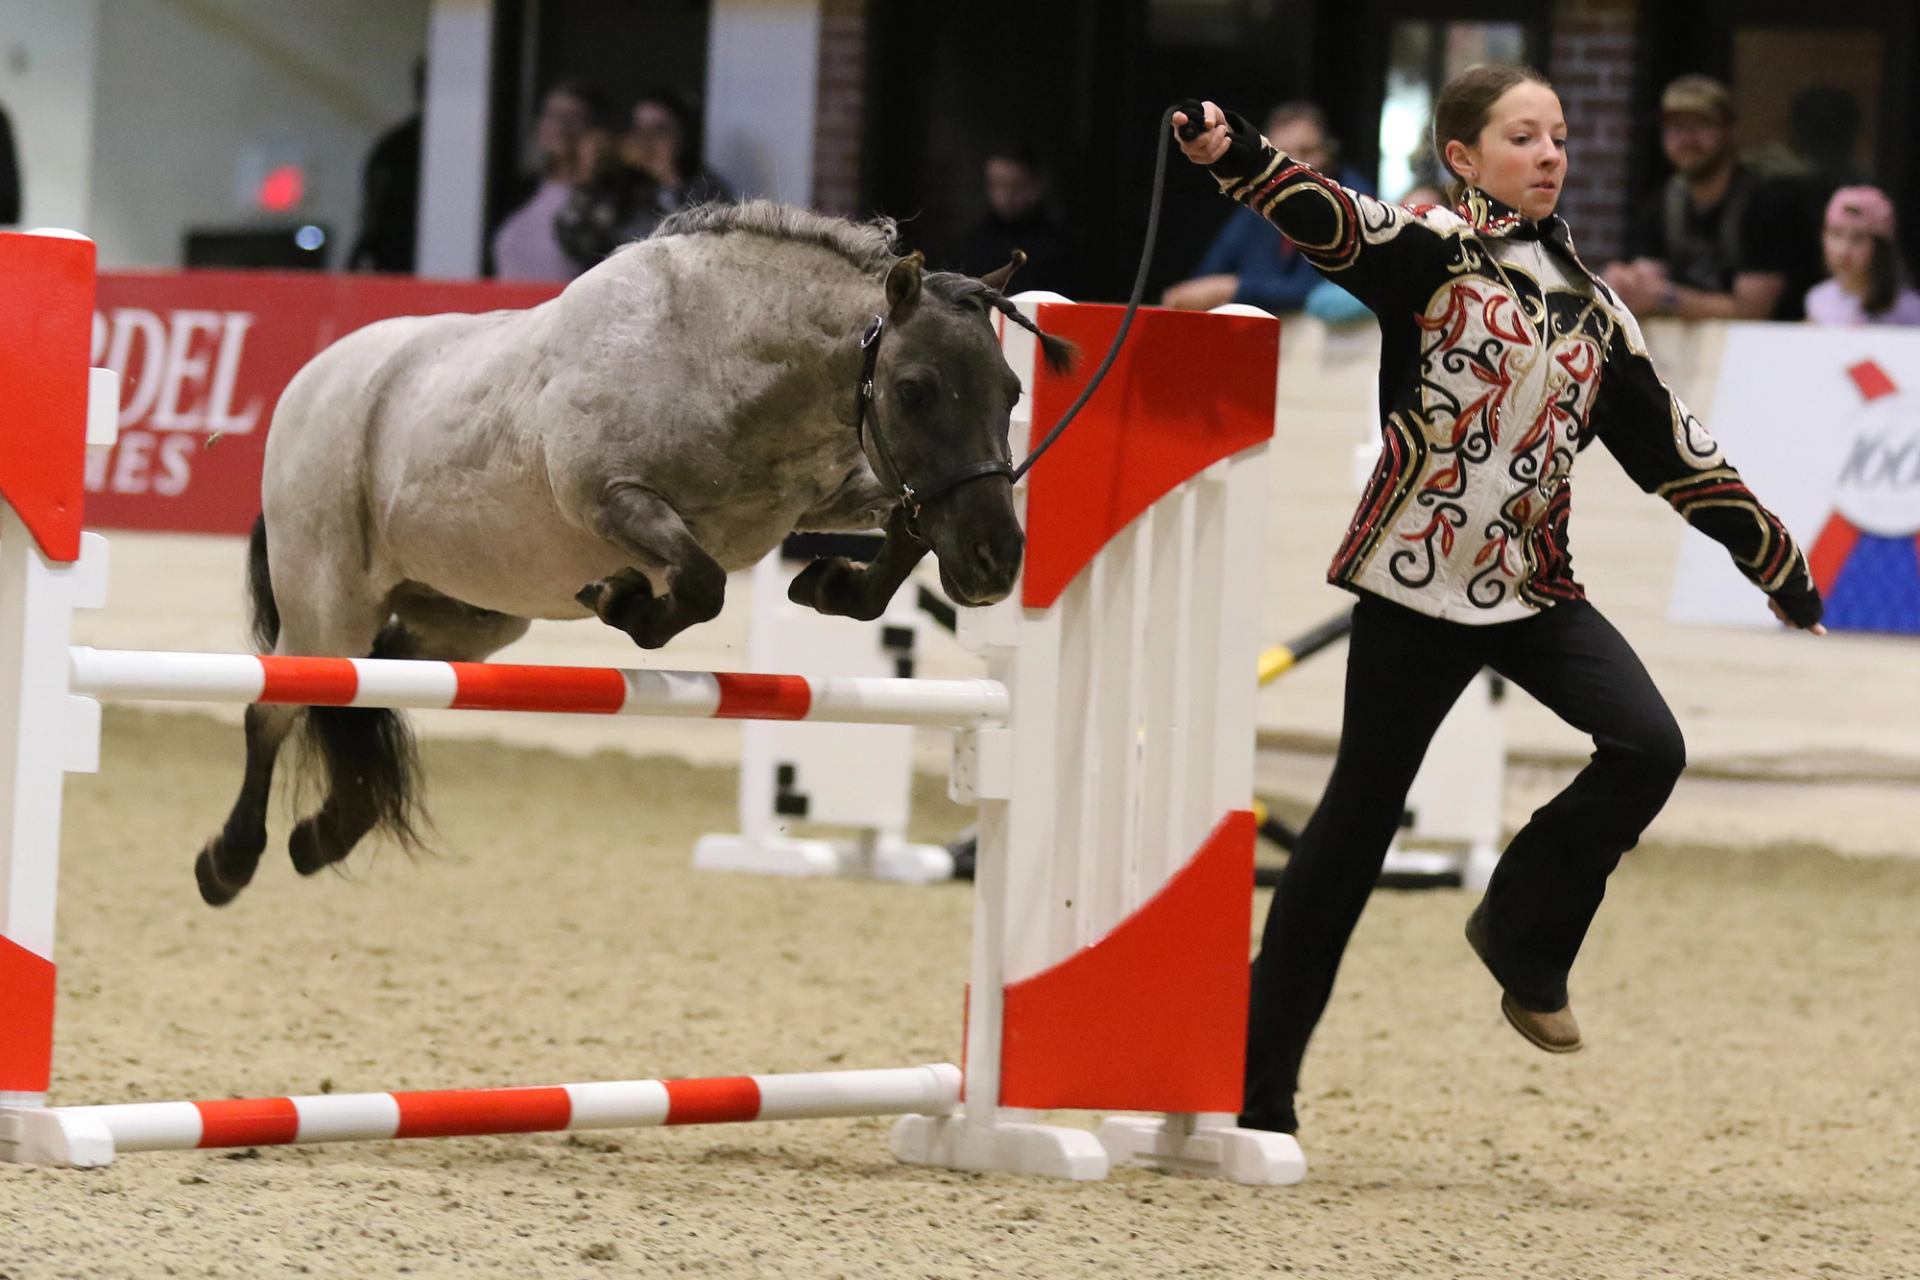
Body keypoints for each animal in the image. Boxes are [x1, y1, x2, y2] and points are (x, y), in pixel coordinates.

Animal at [192, 199, 1072, 906]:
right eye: (915, 389)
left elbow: (900, 533)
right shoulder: (611, 500)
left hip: (467, 620)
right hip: (328, 600)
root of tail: (313, 381)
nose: (995, 562)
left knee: (372, 687)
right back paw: (229, 860)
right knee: (279, 704)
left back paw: (327, 832)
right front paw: (625, 600)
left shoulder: (836, 497)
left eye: (1012, 392)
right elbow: (700, 584)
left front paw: (830, 585)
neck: (725, 362)